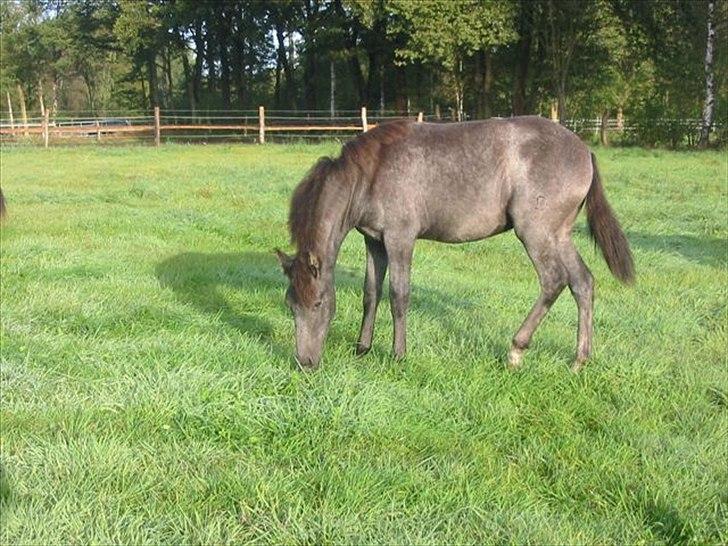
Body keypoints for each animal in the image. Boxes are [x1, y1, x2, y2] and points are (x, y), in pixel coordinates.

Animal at [276, 116, 636, 370]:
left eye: (318, 303)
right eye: (291, 305)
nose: (305, 362)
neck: (371, 173)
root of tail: (585, 150)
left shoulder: (400, 239)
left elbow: (398, 296)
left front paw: (398, 355)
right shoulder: (374, 242)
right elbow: (371, 293)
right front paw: (362, 348)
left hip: (536, 233)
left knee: (554, 281)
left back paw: (516, 351)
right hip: (559, 235)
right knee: (582, 283)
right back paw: (578, 361)